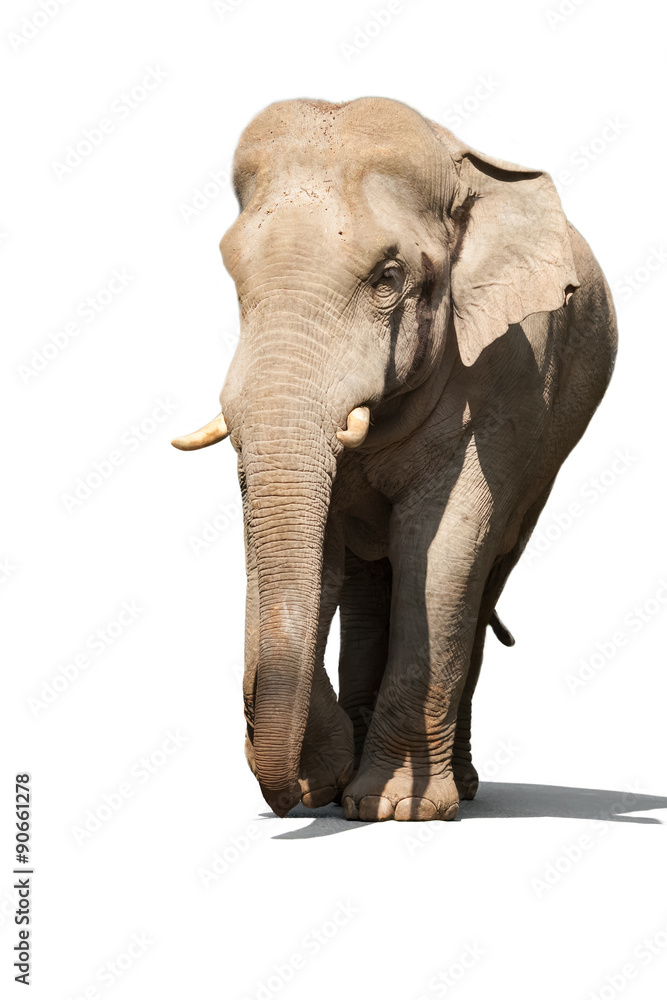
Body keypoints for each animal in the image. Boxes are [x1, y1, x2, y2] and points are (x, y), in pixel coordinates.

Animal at [172, 97, 617, 822]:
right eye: (233, 277)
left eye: (388, 279)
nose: (288, 796)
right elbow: (317, 551)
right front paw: (326, 786)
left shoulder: (506, 374)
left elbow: (437, 548)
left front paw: (395, 809)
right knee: (365, 580)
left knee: (482, 574)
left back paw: (456, 788)